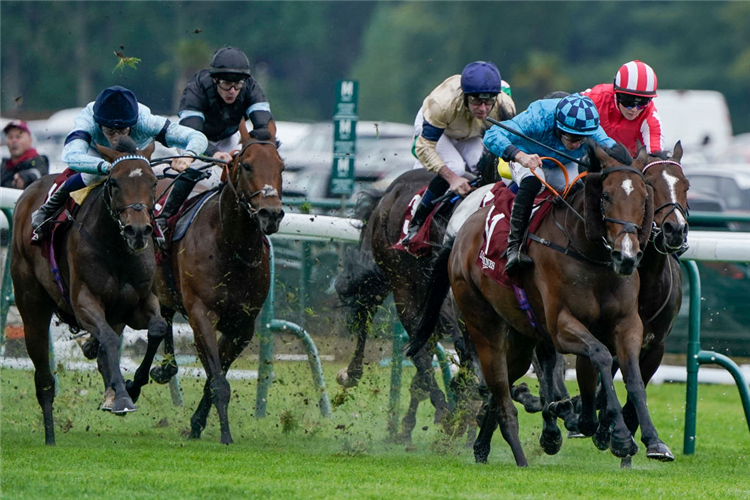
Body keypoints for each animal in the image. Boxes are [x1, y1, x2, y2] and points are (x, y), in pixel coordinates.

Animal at [9, 137, 164, 446]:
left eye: (153, 182)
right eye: (114, 182)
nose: (138, 231)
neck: (117, 249)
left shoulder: (138, 302)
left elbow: (157, 328)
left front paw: (133, 386)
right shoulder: (84, 302)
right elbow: (108, 339)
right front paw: (122, 398)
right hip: (31, 305)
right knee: (44, 379)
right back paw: (50, 436)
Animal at [148, 127, 286, 444]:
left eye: (282, 167)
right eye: (246, 165)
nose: (271, 214)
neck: (231, 247)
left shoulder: (243, 326)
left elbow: (216, 376)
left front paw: (197, 423)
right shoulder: (201, 314)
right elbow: (218, 381)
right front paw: (225, 435)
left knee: (164, 319)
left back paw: (164, 370)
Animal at [412, 141, 668, 464]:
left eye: (645, 198)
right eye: (606, 196)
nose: (627, 256)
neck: (591, 256)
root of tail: (458, 235)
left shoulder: (627, 324)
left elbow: (631, 376)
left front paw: (651, 440)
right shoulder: (561, 326)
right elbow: (600, 355)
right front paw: (618, 436)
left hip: (521, 336)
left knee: (501, 387)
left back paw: (484, 446)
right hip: (482, 325)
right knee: (498, 388)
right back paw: (519, 453)